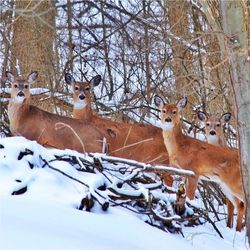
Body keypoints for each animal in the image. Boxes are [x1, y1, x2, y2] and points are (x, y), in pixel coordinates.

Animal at [154, 94, 244, 231]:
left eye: (175, 111)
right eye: (163, 111)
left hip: (235, 182)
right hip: (226, 185)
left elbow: (191, 196)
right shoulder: (182, 172)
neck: (180, 147)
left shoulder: (194, 172)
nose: (168, 119)